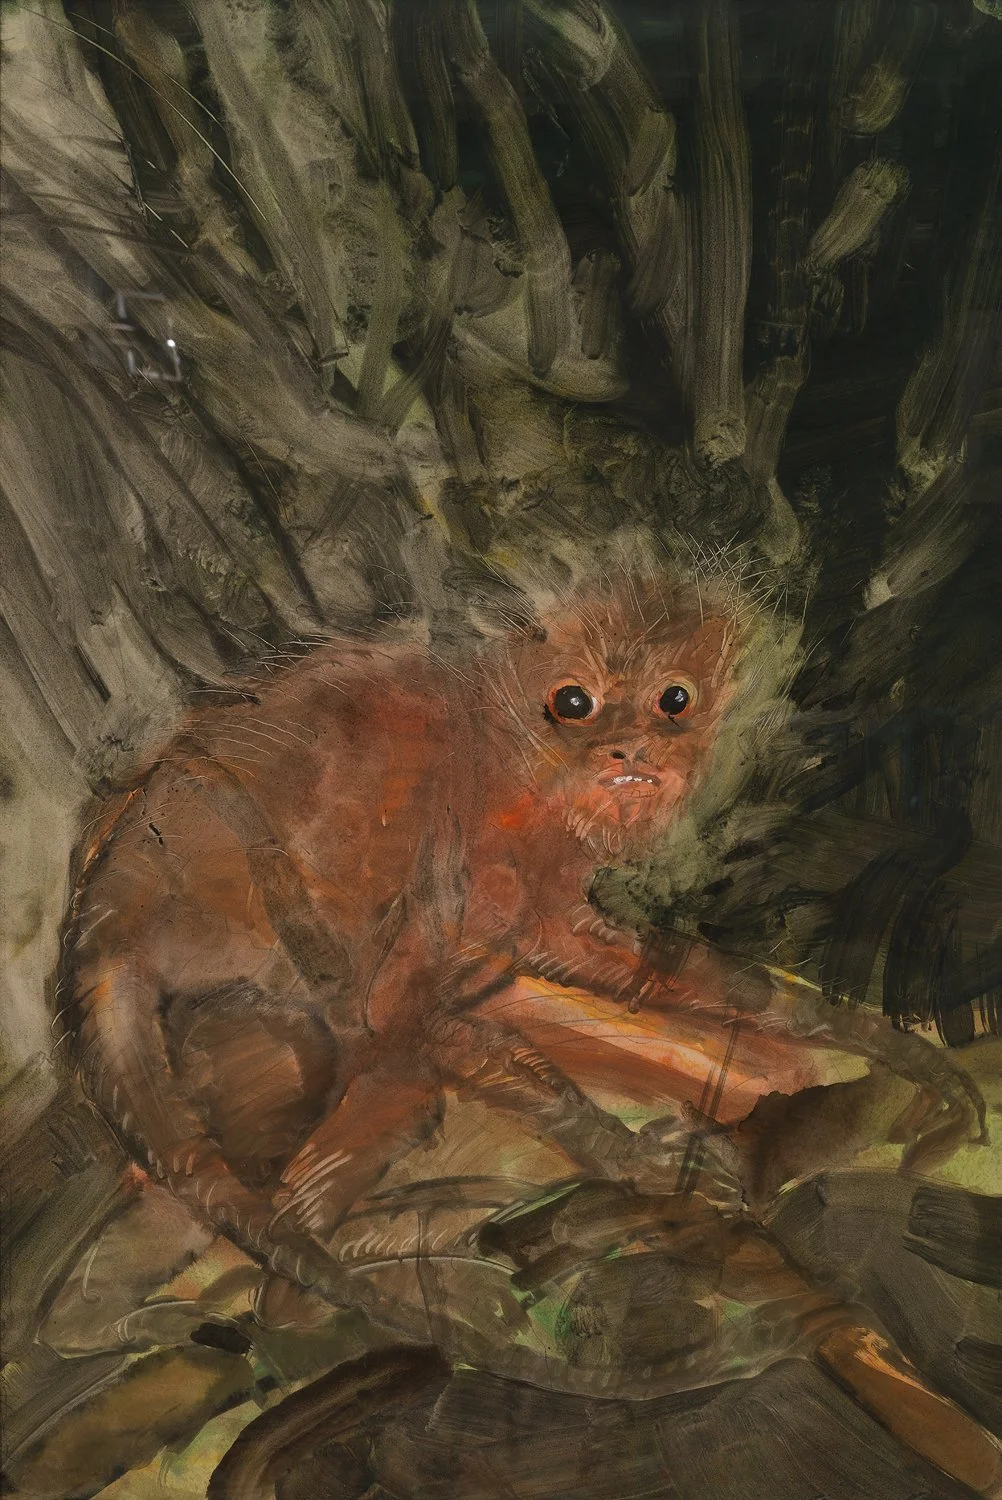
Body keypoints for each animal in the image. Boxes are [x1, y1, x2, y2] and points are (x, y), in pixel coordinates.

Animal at [62, 559, 986, 1311]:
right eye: (573, 703)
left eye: (673, 700)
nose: (627, 750)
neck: (516, 759)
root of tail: (114, 899)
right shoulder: (465, 840)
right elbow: (410, 1009)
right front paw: (633, 1163)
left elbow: (615, 961)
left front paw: (863, 1035)